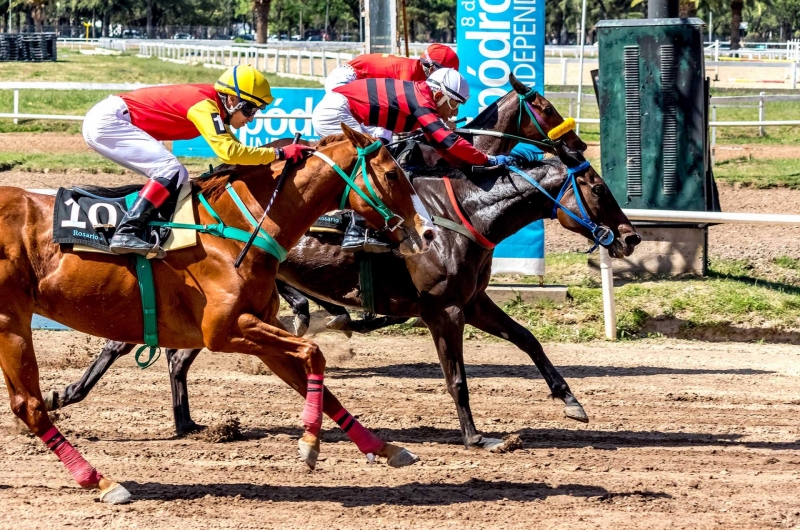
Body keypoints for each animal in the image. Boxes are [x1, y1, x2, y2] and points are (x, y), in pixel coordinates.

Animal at [0, 125, 432, 504]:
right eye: (392, 173)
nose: (426, 231)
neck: (236, 230)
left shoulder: (261, 331)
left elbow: (320, 385)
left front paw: (385, 447)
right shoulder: (225, 331)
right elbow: (314, 352)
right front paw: (309, 444)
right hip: (12, 322)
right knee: (29, 405)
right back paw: (102, 481)